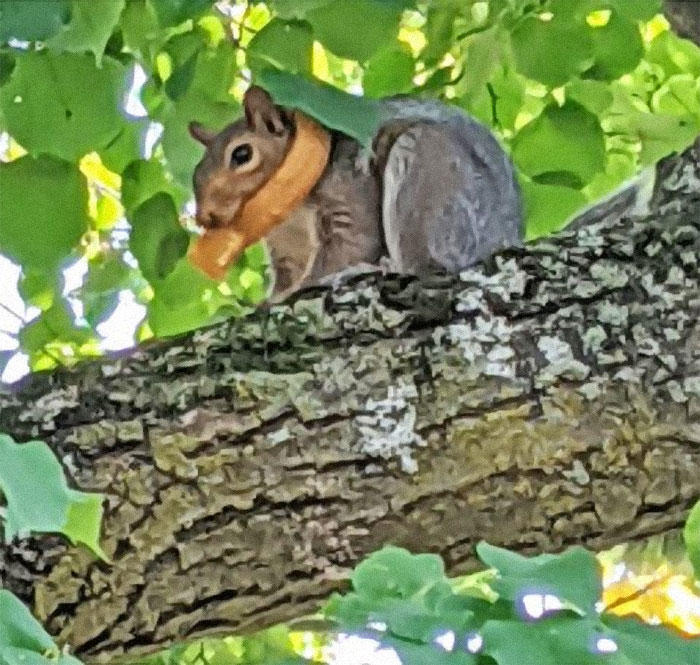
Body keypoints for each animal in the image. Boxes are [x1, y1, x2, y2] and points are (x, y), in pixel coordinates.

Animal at [189, 86, 523, 303]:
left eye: (242, 154)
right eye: (196, 170)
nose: (205, 217)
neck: (290, 211)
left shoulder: (350, 197)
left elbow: (350, 247)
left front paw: (294, 292)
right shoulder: (286, 249)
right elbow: (286, 276)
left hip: (428, 181)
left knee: (425, 266)